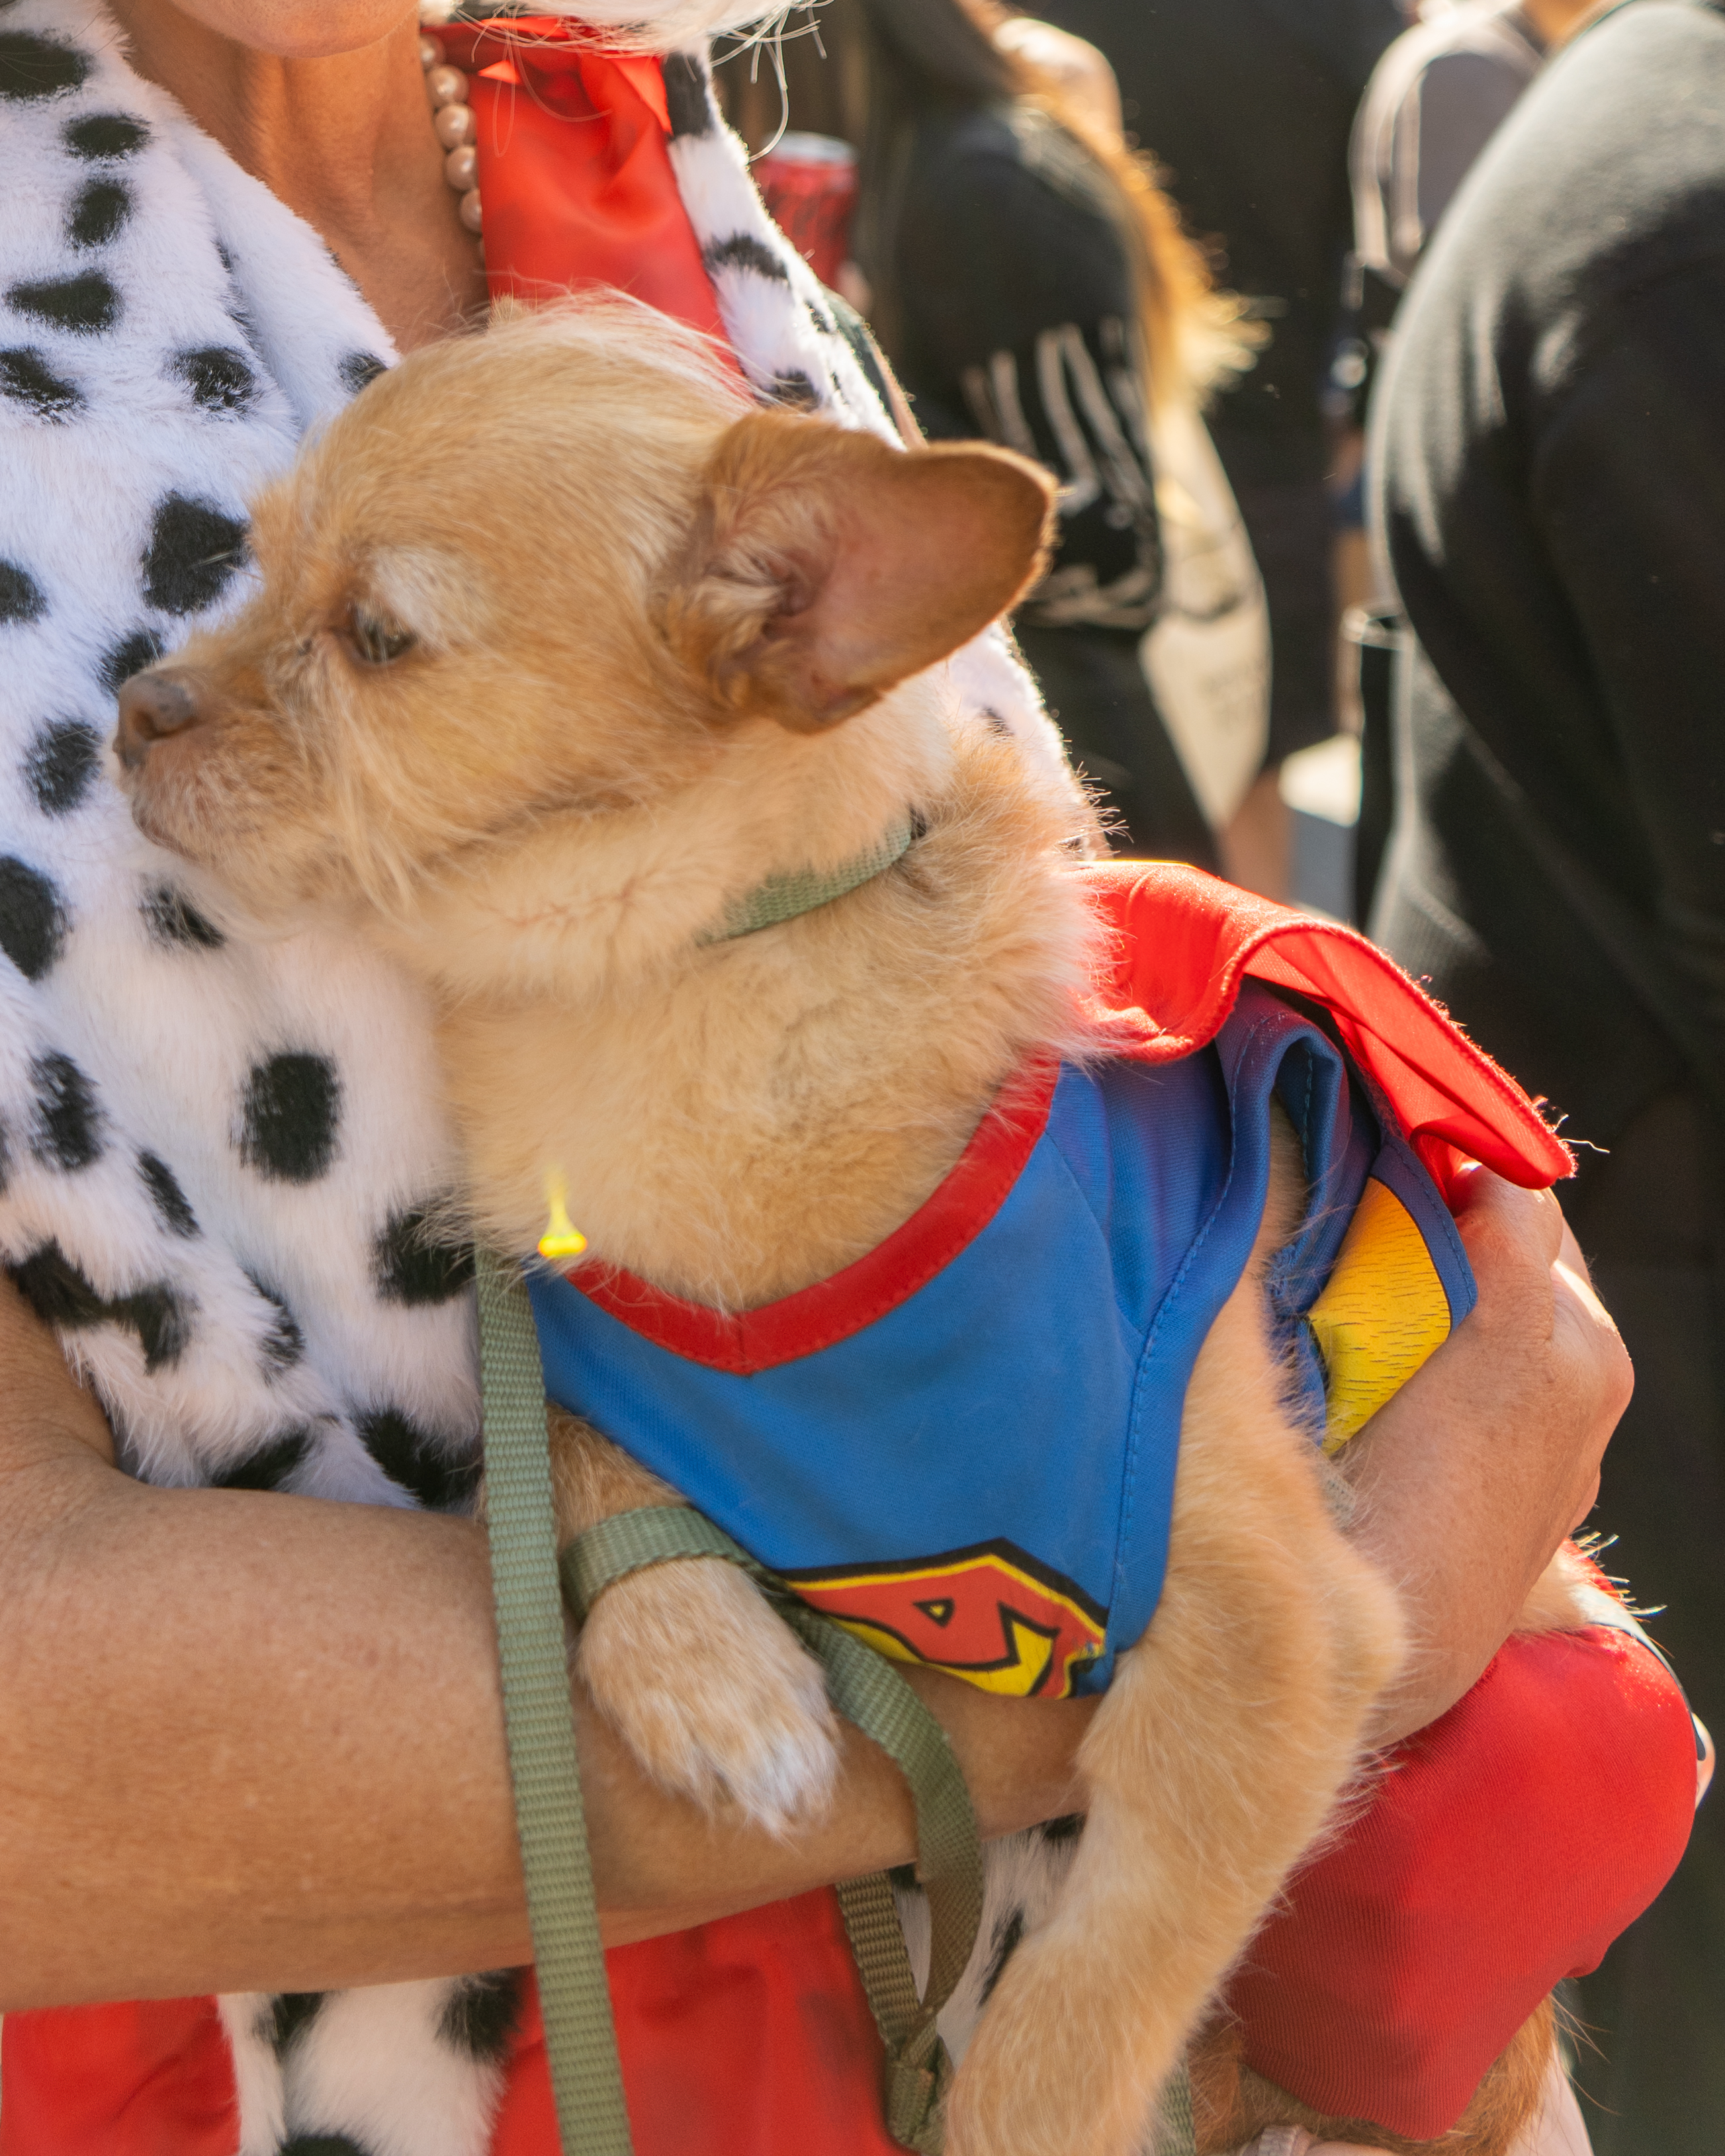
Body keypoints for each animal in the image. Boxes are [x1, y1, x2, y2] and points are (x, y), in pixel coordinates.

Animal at [114, 300, 1587, 2156]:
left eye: (375, 637)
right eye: (248, 564)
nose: (126, 710)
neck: (645, 1002)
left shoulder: (1280, 1650)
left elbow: (1065, 2036)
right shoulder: (575, 1357)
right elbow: (578, 1460)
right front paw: (708, 1671)